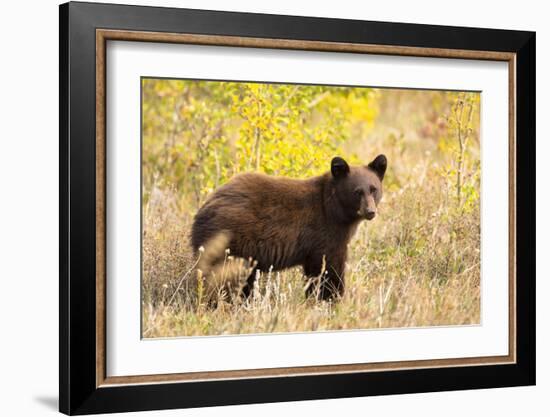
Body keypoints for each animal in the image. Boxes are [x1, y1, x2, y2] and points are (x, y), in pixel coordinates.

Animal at [193, 154, 388, 300]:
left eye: (374, 189)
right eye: (357, 192)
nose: (370, 211)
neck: (334, 209)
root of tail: (203, 210)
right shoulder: (325, 233)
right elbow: (328, 269)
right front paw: (331, 299)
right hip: (231, 243)